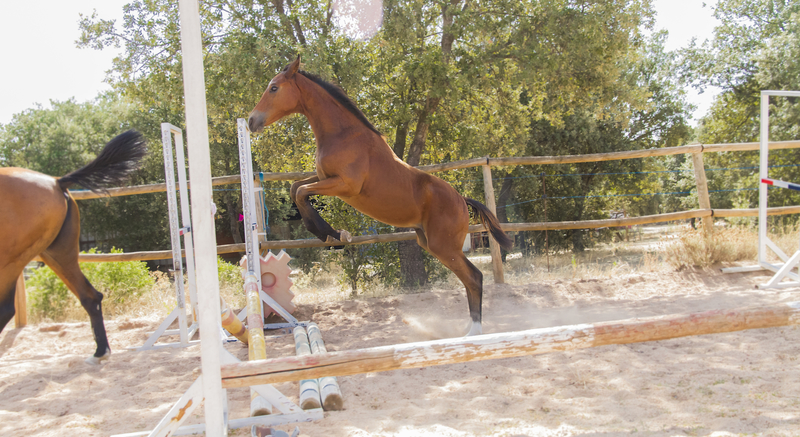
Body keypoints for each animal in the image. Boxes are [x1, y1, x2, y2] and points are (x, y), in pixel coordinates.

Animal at [0, 130, 147, 364]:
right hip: (56, 254)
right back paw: (100, 352)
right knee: (90, 296)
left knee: (5, 308)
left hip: (11, 258)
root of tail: (56, 182)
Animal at [249, 56, 512, 336]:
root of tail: (462, 200)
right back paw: (468, 329)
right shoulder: (323, 178)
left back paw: (474, 331)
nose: (251, 121)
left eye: (274, 88)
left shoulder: (344, 185)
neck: (343, 134)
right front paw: (331, 234)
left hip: (444, 246)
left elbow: (300, 192)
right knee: (470, 279)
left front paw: (331, 234)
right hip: (432, 244)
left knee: (474, 277)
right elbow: (296, 188)